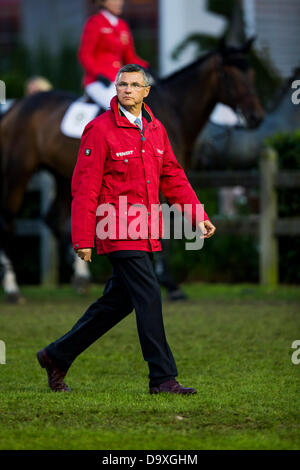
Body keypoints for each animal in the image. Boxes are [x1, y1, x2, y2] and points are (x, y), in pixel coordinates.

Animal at [0, 38, 264, 302]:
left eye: (251, 73)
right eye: (230, 74)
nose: (256, 117)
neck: (174, 109)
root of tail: (14, 107)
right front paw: (170, 284)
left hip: (65, 176)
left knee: (54, 218)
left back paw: (81, 277)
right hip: (17, 173)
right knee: (9, 221)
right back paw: (14, 289)